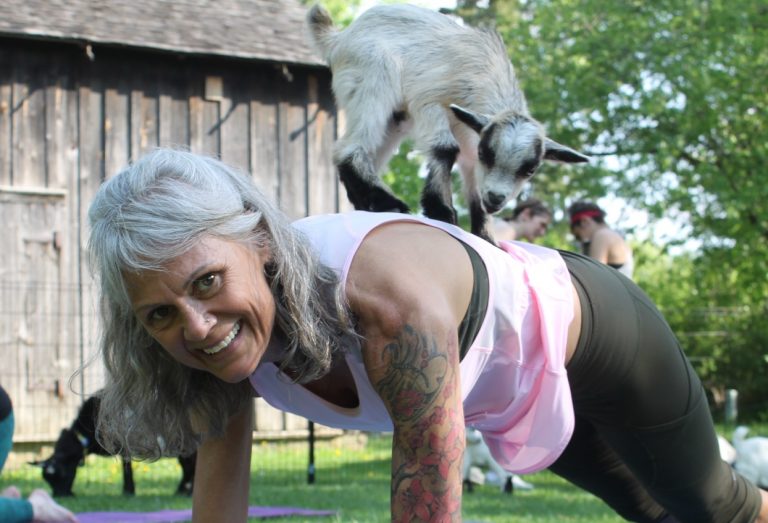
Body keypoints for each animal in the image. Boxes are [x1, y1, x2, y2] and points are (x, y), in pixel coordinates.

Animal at [306, 3, 588, 244]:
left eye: (530, 169)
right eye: (488, 154)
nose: (496, 198)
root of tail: (339, 38)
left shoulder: (472, 146)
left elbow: (474, 188)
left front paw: (486, 237)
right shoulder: (430, 103)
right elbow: (445, 148)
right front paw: (442, 212)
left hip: (396, 119)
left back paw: (372, 205)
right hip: (374, 80)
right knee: (349, 147)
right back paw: (389, 203)